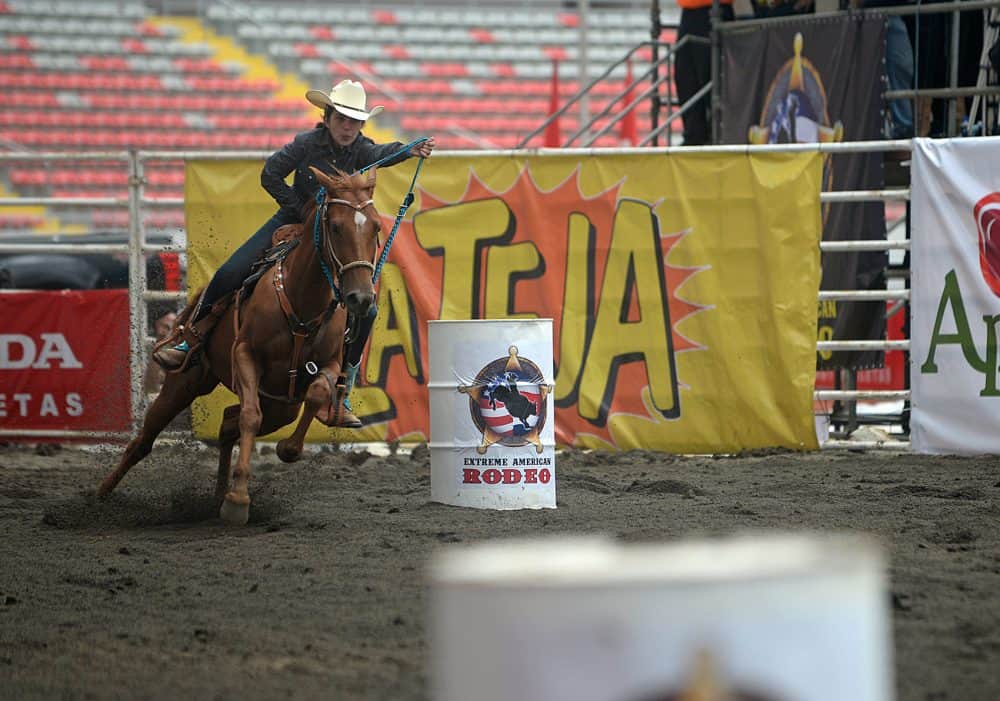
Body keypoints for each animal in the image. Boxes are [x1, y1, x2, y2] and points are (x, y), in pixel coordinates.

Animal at [97, 167, 380, 524]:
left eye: (376, 227)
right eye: (336, 226)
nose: (360, 297)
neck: (302, 301)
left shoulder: (328, 365)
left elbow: (315, 394)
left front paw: (286, 451)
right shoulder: (245, 355)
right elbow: (249, 416)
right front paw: (238, 501)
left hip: (280, 408)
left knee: (227, 424)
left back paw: (218, 496)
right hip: (185, 384)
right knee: (145, 440)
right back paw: (100, 495)